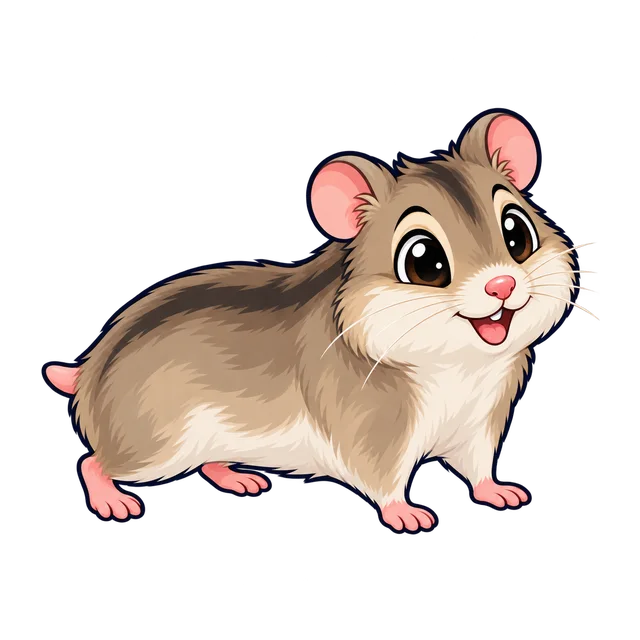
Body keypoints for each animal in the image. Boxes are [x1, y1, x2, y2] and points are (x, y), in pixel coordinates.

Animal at [41, 109, 594, 532]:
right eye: (424, 261)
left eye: (517, 233)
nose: (502, 286)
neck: (457, 365)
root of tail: (87, 375)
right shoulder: (374, 433)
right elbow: (385, 481)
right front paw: (408, 516)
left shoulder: (479, 425)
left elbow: (478, 469)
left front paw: (501, 493)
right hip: (155, 448)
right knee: (92, 461)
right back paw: (114, 502)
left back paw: (240, 479)